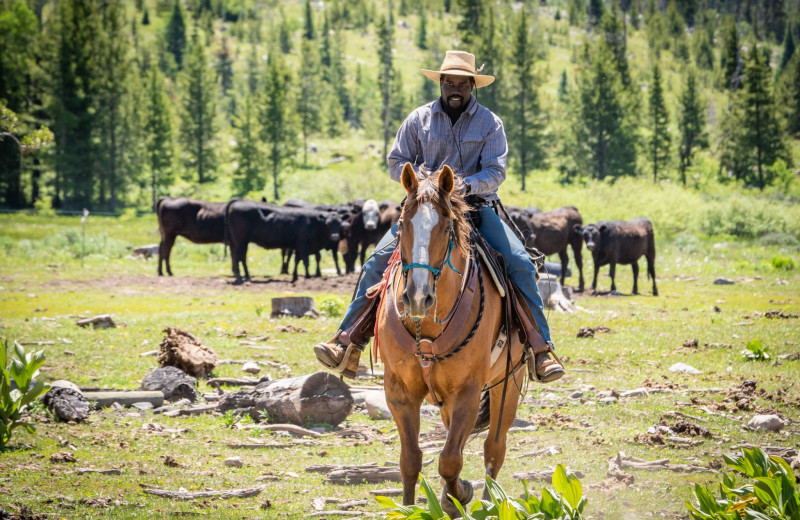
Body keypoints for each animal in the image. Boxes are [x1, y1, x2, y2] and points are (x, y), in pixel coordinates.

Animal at [376, 164, 528, 516]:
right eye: (402, 225)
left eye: (447, 229)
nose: (418, 297)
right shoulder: (399, 392)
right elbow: (410, 459)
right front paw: (412, 508)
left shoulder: (468, 393)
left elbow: (450, 460)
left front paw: (459, 495)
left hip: (508, 382)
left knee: (494, 448)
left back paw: (491, 502)